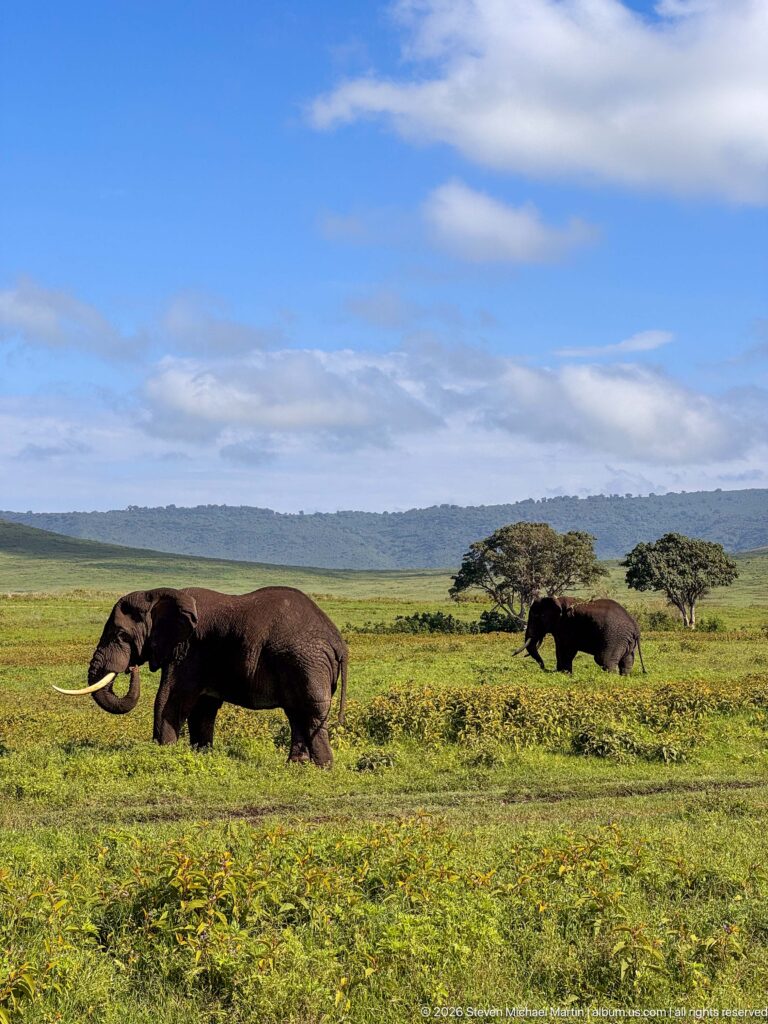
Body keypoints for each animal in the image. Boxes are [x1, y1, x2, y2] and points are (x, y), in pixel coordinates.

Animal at [53, 586, 348, 766]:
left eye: (120, 635)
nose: (132, 668)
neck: (158, 594)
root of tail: (339, 643)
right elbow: (203, 707)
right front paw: (202, 754)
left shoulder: (189, 650)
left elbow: (169, 700)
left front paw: (164, 753)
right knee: (296, 712)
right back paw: (295, 766)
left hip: (306, 661)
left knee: (309, 711)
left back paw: (323, 768)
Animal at [512, 596, 646, 676]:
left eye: (537, 617)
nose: (546, 669)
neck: (556, 599)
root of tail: (635, 627)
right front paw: (563, 674)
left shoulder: (566, 625)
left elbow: (565, 650)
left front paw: (564, 674)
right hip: (626, 640)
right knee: (627, 661)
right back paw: (624, 677)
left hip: (615, 637)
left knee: (604, 660)